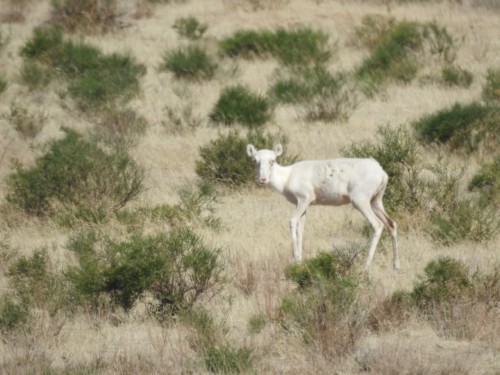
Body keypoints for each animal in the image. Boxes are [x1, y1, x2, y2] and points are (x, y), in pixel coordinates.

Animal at [246, 144, 398, 270]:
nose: (263, 179)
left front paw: (295, 259)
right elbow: (301, 230)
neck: (287, 177)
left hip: (361, 202)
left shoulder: (303, 199)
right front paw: (300, 259)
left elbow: (292, 222)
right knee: (392, 224)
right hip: (376, 202)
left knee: (377, 225)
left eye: (272, 160)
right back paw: (396, 266)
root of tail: (381, 172)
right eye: (255, 161)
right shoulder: (302, 205)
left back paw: (365, 265)